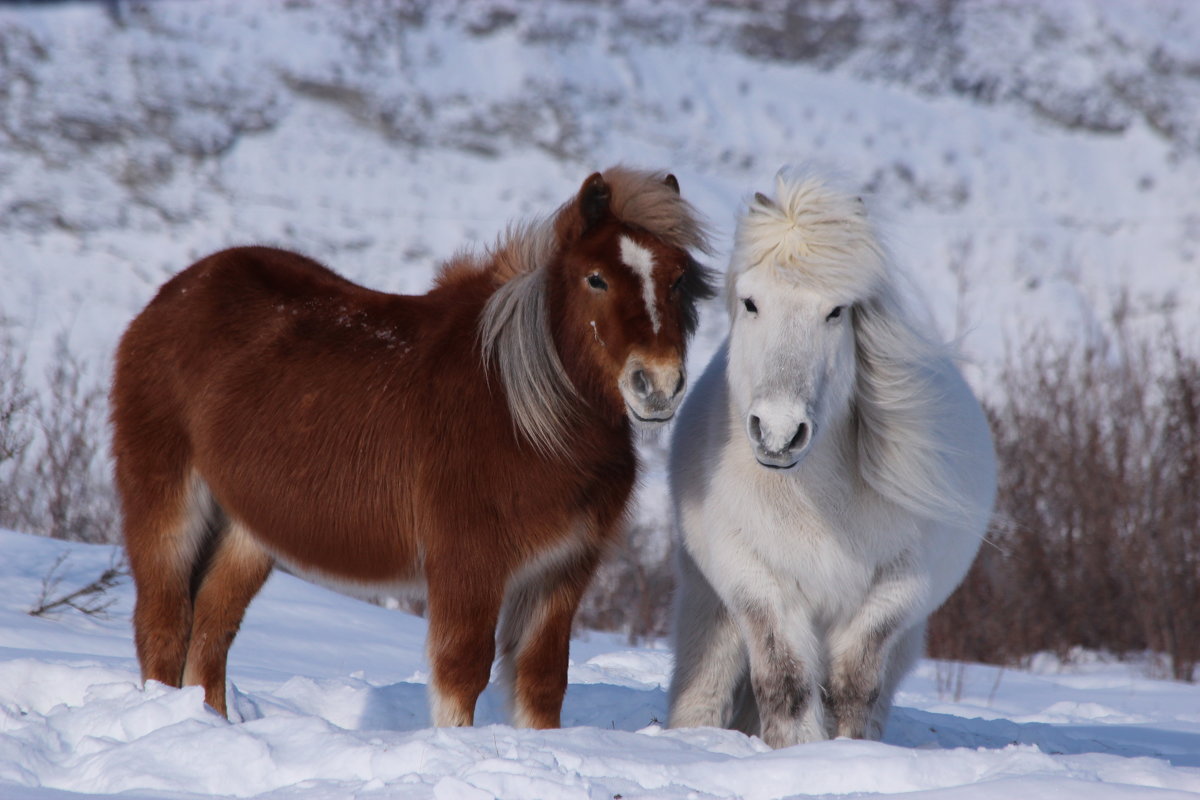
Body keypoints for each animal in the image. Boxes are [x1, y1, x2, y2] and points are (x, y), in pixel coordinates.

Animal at [110, 169, 710, 734]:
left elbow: (542, 681)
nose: (658, 386)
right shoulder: (468, 565)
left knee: (211, 631)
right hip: (168, 506)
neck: (524, 412)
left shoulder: (561, 572)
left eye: (678, 279)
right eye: (596, 278)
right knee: (163, 625)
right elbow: (462, 672)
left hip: (246, 530)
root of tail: (175, 294)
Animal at [667, 170, 993, 753]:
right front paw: (796, 751)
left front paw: (845, 751)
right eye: (750, 302)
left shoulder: (898, 588)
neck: (816, 500)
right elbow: (786, 683)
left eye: (836, 311)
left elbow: (853, 686)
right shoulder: (755, 581)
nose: (778, 433)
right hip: (709, 604)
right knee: (706, 687)